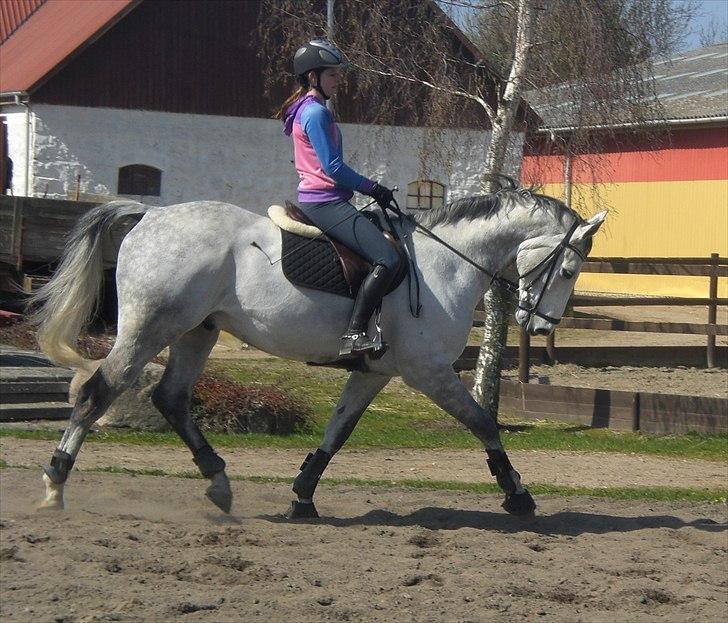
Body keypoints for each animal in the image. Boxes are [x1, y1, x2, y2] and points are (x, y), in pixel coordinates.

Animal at [31, 183, 604, 520]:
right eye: (568, 270)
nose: (540, 323)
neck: (446, 264)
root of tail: (150, 214)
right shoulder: (427, 371)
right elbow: (483, 422)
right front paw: (517, 494)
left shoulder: (376, 371)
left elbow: (338, 431)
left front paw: (303, 494)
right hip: (150, 327)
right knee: (98, 391)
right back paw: (55, 483)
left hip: (197, 331)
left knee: (170, 398)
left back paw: (219, 483)